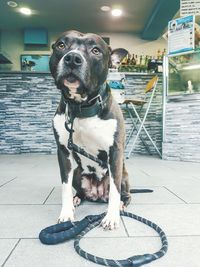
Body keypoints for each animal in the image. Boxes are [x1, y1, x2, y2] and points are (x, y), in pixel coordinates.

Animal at [50, 30, 131, 229]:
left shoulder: (115, 152)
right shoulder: (63, 152)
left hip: (123, 175)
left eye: (96, 50)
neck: (81, 108)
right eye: (61, 45)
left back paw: (122, 205)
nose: (72, 58)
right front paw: (66, 213)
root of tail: (98, 195)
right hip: (78, 173)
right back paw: (77, 198)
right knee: (80, 191)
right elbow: (64, 186)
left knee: (124, 194)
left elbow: (115, 191)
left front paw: (111, 216)